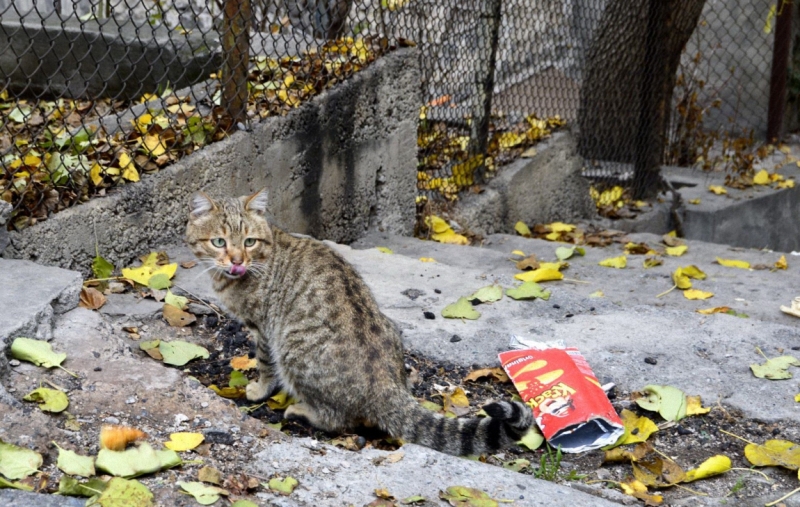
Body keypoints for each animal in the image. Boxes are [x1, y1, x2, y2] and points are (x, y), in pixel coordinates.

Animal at [184, 190, 528, 456]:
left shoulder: (264, 329)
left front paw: (258, 389)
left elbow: (264, 364)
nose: (237, 260)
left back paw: (302, 410)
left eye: (249, 242)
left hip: (293, 348)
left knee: (337, 419)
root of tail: (387, 386)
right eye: (219, 242)